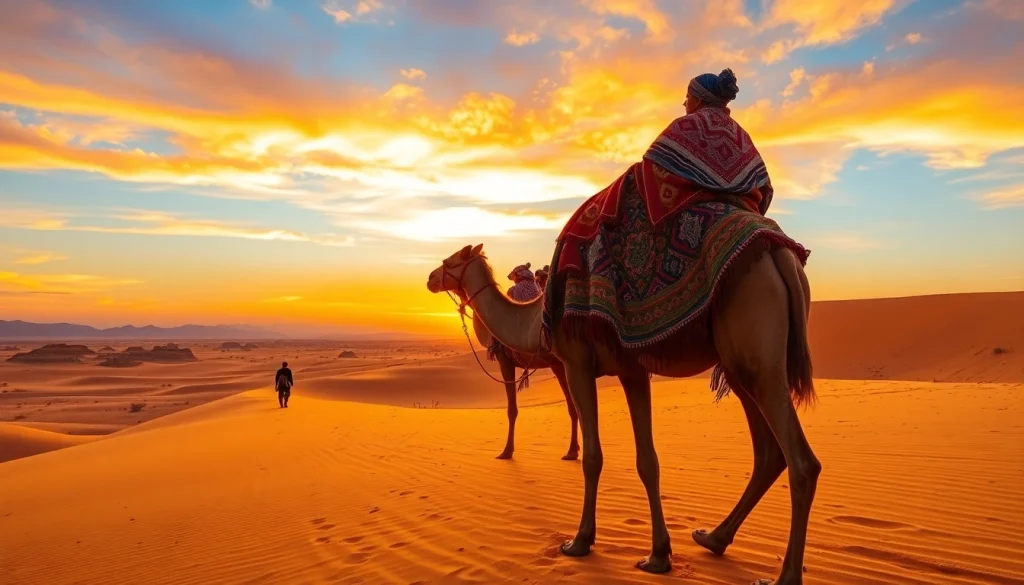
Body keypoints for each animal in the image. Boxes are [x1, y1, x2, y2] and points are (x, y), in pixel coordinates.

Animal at [428, 243, 818, 585]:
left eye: (449, 261)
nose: (430, 278)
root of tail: (781, 256)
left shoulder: (576, 362)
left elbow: (592, 456)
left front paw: (580, 541)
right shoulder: (631, 369)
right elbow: (648, 461)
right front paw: (659, 555)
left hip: (757, 355)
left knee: (802, 462)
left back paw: (784, 576)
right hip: (739, 367)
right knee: (769, 454)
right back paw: (713, 538)